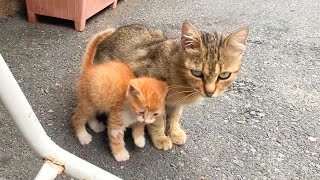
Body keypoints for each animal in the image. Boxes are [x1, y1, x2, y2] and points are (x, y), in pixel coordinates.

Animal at [72, 30, 168, 161]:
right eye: (141, 112)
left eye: (156, 114)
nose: (147, 120)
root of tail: (91, 68)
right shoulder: (116, 121)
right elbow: (116, 139)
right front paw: (120, 154)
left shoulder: (138, 121)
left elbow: (139, 128)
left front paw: (139, 140)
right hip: (89, 103)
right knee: (77, 117)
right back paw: (83, 135)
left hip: (98, 101)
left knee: (91, 115)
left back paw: (96, 126)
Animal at [92, 21, 250, 150]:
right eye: (196, 73)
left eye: (224, 75)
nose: (209, 92)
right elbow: (156, 121)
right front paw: (161, 137)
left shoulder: (176, 104)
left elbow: (174, 117)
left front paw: (174, 132)